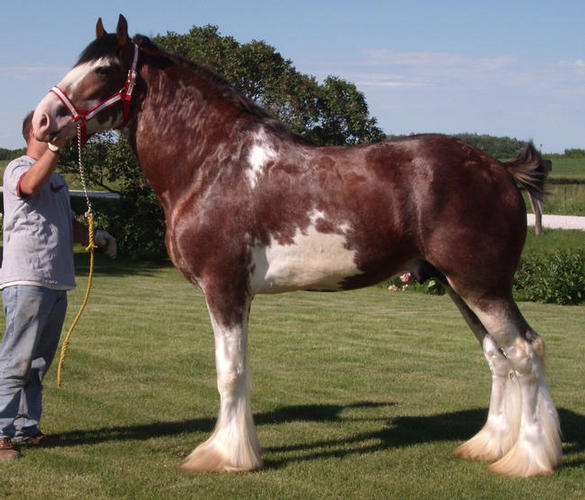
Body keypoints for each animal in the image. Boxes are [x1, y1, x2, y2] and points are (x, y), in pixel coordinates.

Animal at [33, 16, 560, 476]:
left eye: (103, 69)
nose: (38, 121)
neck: (212, 163)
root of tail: (500, 169)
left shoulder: (224, 288)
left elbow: (230, 373)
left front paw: (224, 457)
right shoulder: (236, 293)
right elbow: (238, 371)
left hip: (481, 285)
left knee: (525, 351)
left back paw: (529, 460)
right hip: (458, 286)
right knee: (498, 358)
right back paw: (488, 446)